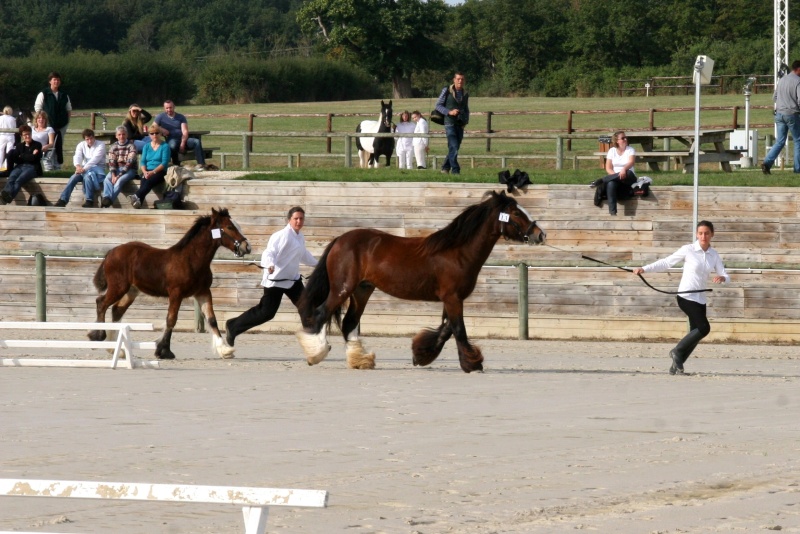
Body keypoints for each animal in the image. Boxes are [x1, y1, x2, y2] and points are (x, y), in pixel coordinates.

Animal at [88, 208, 252, 360]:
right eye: (229, 227)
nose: (247, 247)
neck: (191, 260)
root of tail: (111, 252)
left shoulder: (203, 292)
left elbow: (212, 319)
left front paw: (225, 350)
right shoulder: (176, 293)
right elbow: (171, 319)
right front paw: (164, 351)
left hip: (131, 291)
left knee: (116, 310)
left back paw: (115, 350)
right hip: (118, 287)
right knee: (101, 303)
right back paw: (97, 336)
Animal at [296, 192, 548, 372]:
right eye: (515, 213)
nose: (540, 234)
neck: (458, 252)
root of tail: (340, 239)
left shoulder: (452, 299)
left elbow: (447, 330)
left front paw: (421, 356)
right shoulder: (453, 298)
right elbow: (458, 329)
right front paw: (472, 364)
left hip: (362, 290)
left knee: (349, 323)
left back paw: (360, 361)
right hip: (343, 288)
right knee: (321, 313)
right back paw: (316, 354)